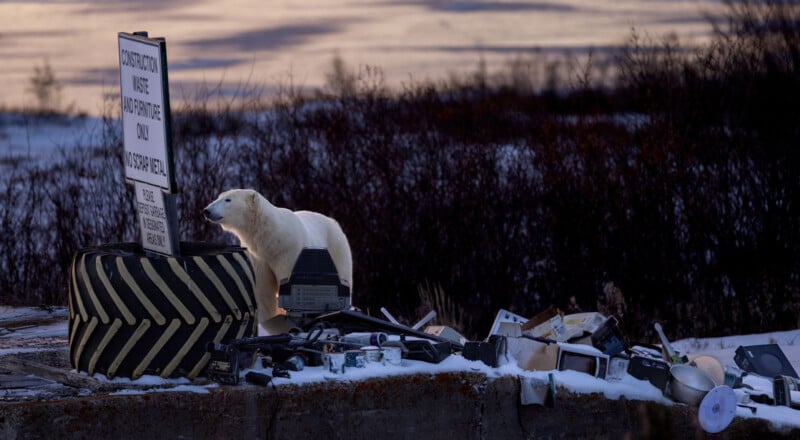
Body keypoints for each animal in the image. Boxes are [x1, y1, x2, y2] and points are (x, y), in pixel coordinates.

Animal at [203, 189, 353, 328]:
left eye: (228, 200)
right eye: (219, 197)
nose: (206, 211)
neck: (271, 237)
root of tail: (334, 222)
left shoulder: (288, 253)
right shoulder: (259, 257)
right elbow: (263, 291)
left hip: (337, 249)